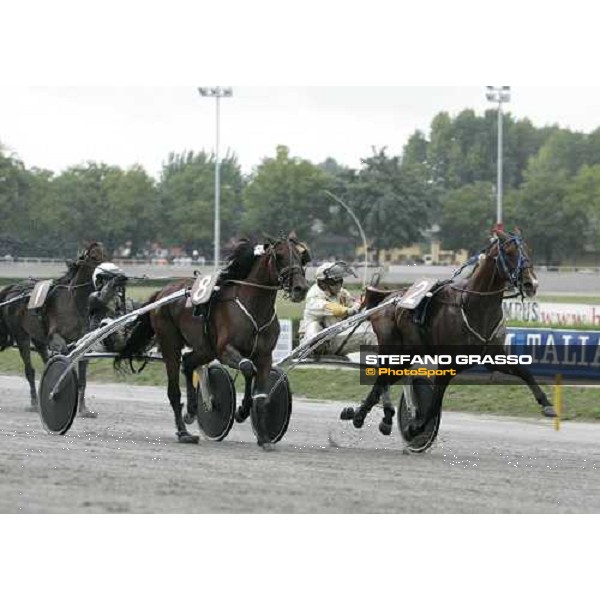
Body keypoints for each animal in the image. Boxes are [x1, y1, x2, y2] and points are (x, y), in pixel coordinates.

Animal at [0, 241, 105, 414]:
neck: (74, 303)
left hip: (38, 338)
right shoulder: (56, 337)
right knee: (29, 370)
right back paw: (34, 404)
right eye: (94, 257)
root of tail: (14, 287)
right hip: (21, 336)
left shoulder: (85, 342)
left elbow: (82, 377)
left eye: (106, 256)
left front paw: (83, 409)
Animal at [114, 234, 310, 446]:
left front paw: (263, 436)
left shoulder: (265, 356)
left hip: (205, 348)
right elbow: (247, 367)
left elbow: (261, 393)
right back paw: (183, 433)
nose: (300, 288)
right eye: (280, 256)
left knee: (188, 362)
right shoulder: (224, 350)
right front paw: (242, 411)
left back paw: (192, 411)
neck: (254, 308)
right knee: (174, 388)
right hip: (170, 343)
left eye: (301, 257)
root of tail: (162, 292)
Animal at [340, 227, 556, 438]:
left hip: (408, 353)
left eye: (527, 251)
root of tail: (388, 296)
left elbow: (524, 371)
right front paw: (417, 427)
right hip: (391, 347)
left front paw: (547, 404)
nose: (531, 284)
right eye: (510, 252)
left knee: (386, 379)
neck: (473, 306)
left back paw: (367, 415)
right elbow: (435, 399)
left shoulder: (493, 357)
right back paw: (365, 414)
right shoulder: (447, 363)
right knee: (382, 378)